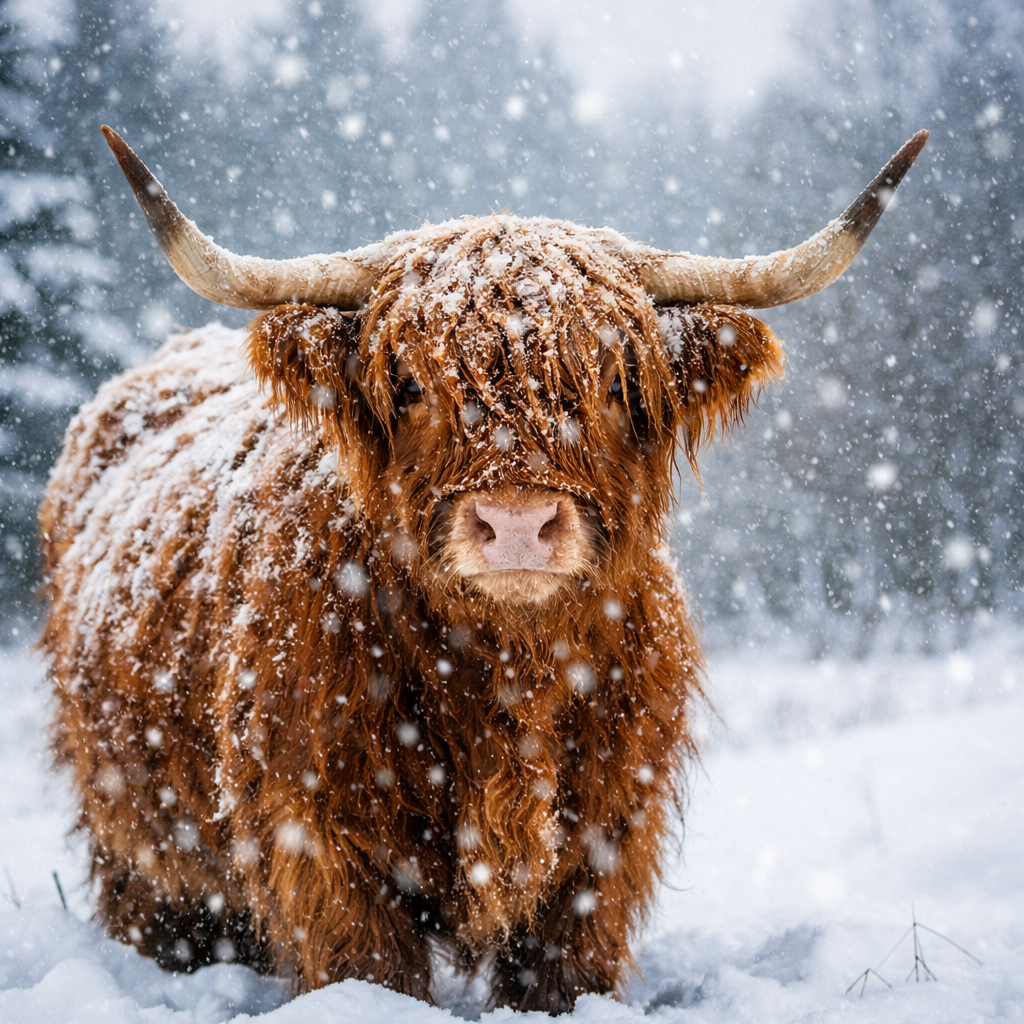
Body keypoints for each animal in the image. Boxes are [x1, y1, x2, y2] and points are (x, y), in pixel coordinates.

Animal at [39, 126, 926, 1013]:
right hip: (133, 830)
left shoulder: (605, 832)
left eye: (614, 382)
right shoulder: (318, 829)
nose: (518, 525)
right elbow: (370, 965)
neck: (507, 670)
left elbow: (559, 966)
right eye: (409, 383)